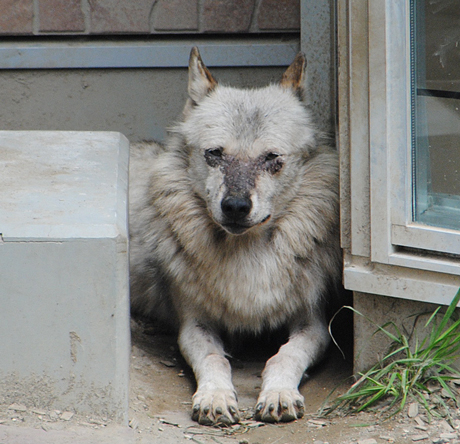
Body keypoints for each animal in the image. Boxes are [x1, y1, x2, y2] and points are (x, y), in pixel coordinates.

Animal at [129, 47, 342, 426]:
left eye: (272, 158)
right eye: (214, 154)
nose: (236, 206)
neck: (248, 258)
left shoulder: (314, 323)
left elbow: (286, 355)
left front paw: (278, 393)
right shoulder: (193, 324)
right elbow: (214, 359)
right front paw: (214, 396)